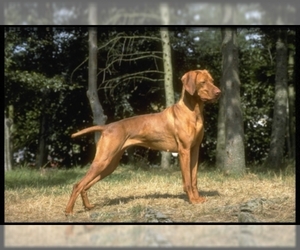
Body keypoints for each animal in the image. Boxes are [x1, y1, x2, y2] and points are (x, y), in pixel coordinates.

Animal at [65, 70, 220, 215]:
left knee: (85, 186)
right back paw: (69, 211)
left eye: (212, 81)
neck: (193, 112)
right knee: (77, 185)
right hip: (102, 161)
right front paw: (192, 200)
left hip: (110, 165)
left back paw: (88, 206)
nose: (219, 92)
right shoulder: (184, 151)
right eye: (203, 82)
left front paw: (197, 198)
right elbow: (187, 180)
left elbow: (194, 179)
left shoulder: (195, 149)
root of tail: (107, 126)